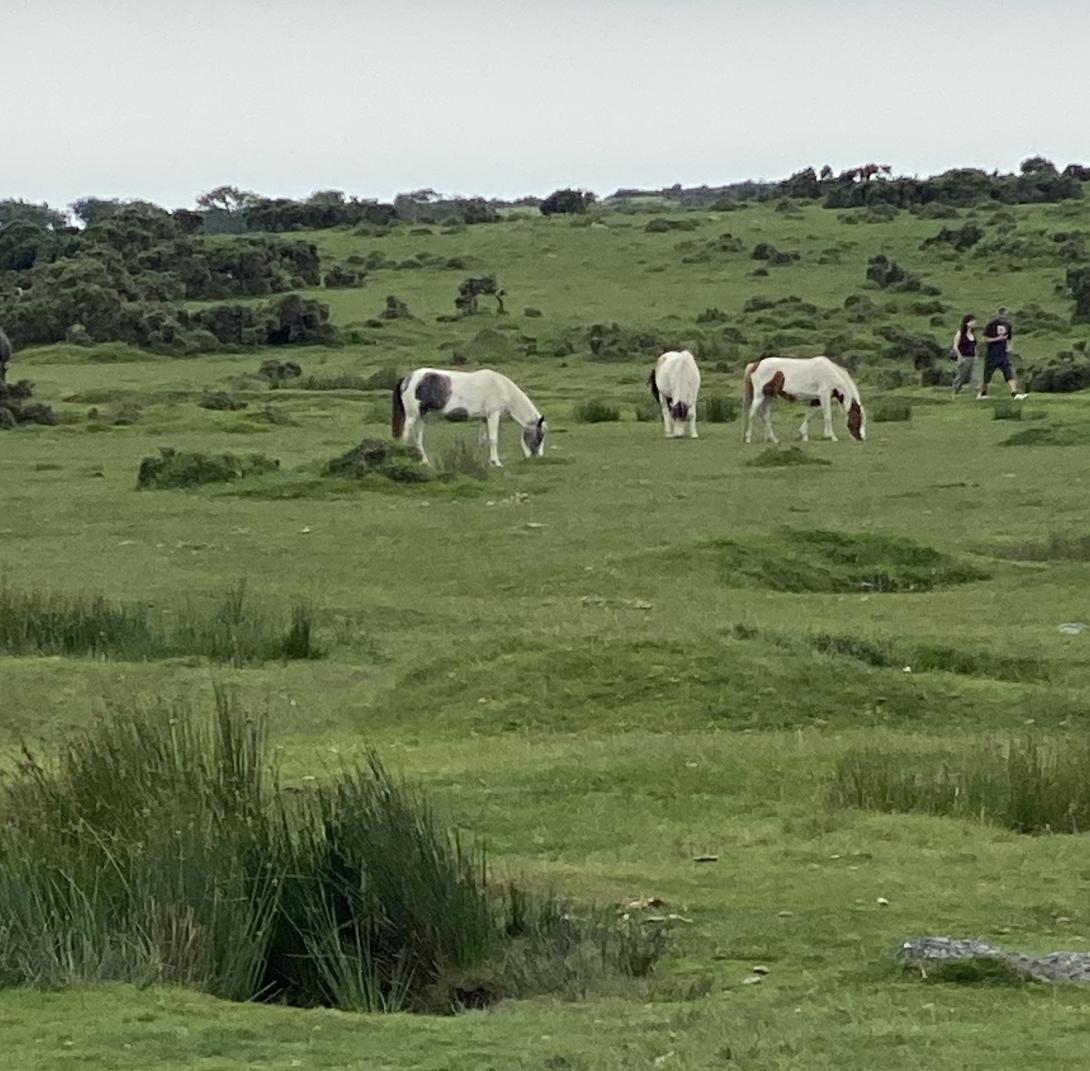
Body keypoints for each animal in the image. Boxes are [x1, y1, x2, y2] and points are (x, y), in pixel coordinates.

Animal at [392, 368, 546, 467]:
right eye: (540, 436)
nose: (538, 457)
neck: (501, 387)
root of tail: (408, 379)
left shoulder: (484, 418)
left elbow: (483, 440)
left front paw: (482, 460)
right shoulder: (493, 415)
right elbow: (493, 439)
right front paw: (496, 462)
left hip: (421, 415)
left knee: (417, 439)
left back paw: (425, 462)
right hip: (412, 416)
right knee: (406, 435)